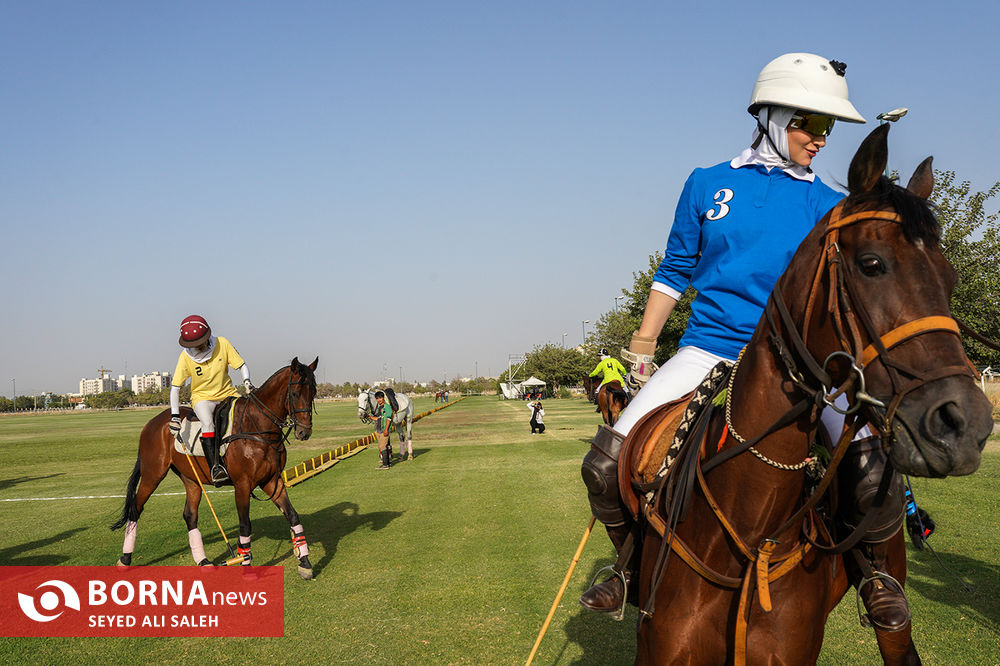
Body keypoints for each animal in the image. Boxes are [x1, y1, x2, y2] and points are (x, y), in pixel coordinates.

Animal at [111, 356, 318, 580]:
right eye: (295, 393)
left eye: (313, 392)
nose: (304, 432)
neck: (257, 427)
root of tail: (152, 423)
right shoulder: (243, 484)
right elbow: (245, 525)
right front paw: (246, 565)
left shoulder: (272, 480)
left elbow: (292, 515)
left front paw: (305, 563)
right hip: (153, 473)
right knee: (136, 508)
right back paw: (125, 559)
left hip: (191, 478)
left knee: (190, 515)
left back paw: (203, 561)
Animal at [620, 126, 996, 664]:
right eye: (871, 264)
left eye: (951, 278)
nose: (964, 425)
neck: (748, 539)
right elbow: (677, 263)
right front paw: (639, 357)